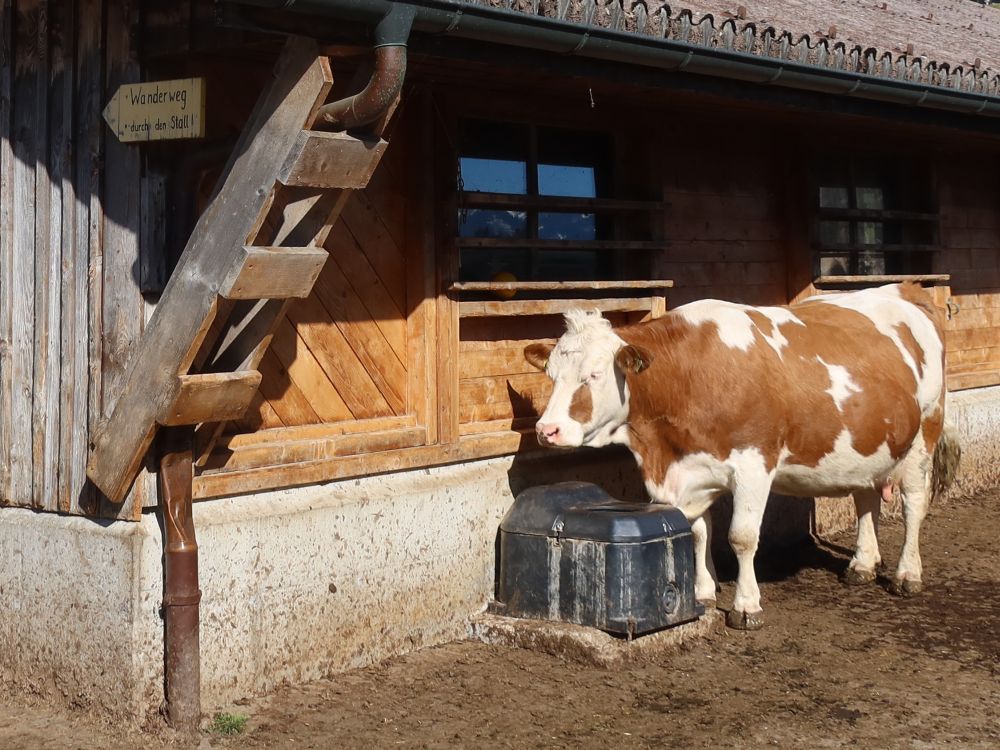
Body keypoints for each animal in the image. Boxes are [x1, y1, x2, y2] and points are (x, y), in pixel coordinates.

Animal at [524, 284, 960, 632]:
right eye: (551, 374)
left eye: (595, 375)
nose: (548, 429)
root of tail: (904, 288)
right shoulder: (692, 470)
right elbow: (698, 531)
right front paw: (701, 592)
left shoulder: (754, 464)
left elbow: (742, 537)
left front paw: (747, 606)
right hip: (867, 444)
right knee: (866, 498)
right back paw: (863, 565)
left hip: (925, 432)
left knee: (913, 504)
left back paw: (907, 574)